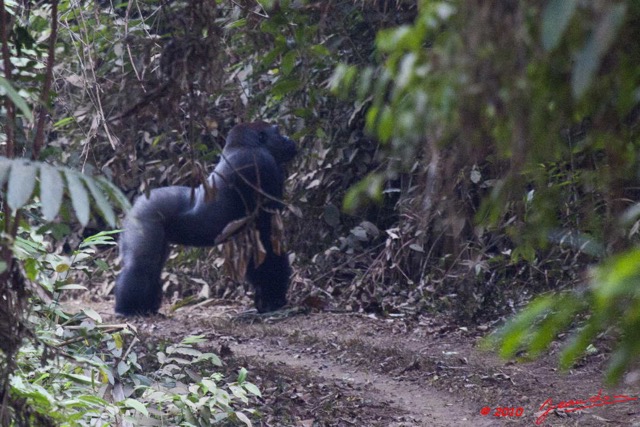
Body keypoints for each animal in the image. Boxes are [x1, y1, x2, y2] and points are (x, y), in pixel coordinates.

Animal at [114, 122, 296, 316]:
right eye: (277, 132)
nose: (288, 139)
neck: (245, 145)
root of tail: (137, 202)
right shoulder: (262, 163)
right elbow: (268, 240)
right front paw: (273, 299)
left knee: (153, 265)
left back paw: (146, 308)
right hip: (143, 216)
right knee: (140, 264)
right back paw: (128, 309)